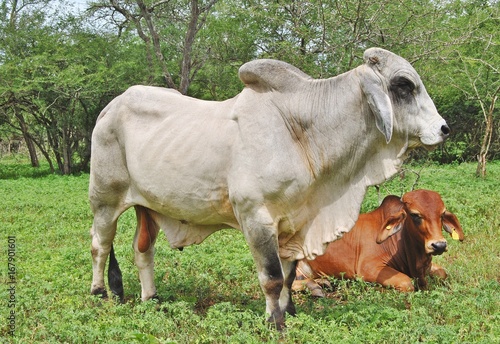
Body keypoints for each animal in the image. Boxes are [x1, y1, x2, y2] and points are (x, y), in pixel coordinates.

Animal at [292, 189, 464, 296]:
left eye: (442, 215)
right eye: (415, 215)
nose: (439, 245)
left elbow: (442, 273)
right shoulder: (368, 268)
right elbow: (406, 282)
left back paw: (323, 282)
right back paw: (315, 287)